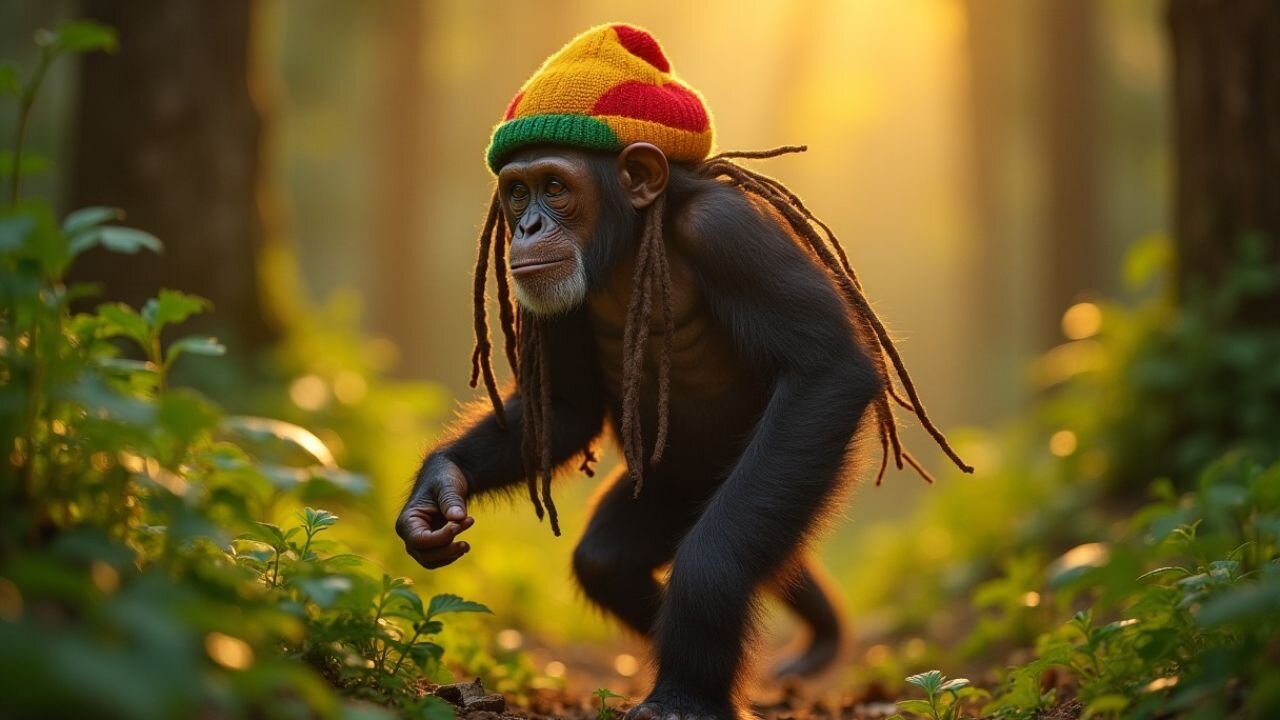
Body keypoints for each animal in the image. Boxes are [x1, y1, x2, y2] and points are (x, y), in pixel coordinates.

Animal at [397, 25, 970, 720]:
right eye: (516, 192)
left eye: (554, 187)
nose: (527, 226)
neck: (630, 243)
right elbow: (564, 410)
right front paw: (437, 489)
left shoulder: (728, 234)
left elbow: (827, 367)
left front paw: (699, 623)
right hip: (666, 487)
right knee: (607, 562)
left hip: (801, 463)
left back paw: (701, 687)